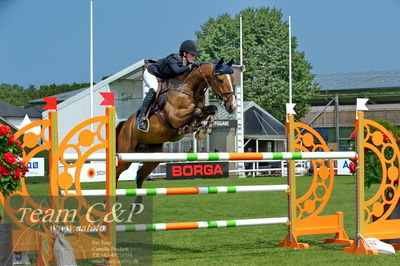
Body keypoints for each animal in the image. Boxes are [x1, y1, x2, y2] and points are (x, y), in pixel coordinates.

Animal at [115, 58, 238, 191]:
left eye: (232, 79)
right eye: (220, 80)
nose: (232, 106)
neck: (188, 90)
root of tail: (125, 124)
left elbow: (211, 109)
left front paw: (202, 131)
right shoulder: (174, 117)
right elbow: (197, 111)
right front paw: (193, 128)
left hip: (153, 156)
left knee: (140, 175)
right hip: (126, 154)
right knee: (117, 172)